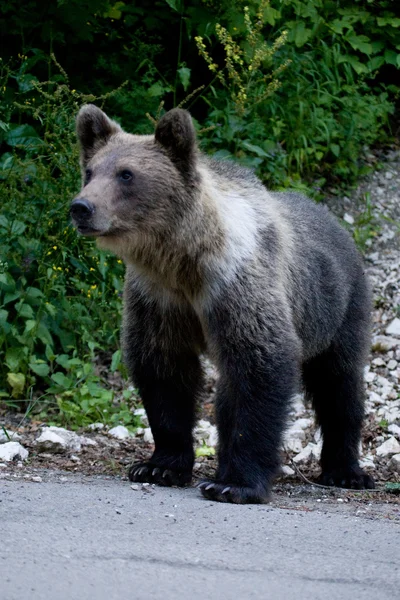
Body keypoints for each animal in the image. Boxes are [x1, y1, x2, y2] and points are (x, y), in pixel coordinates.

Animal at [70, 105, 374, 504]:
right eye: (90, 171)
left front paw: (234, 483)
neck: (182, 260)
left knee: (338, 384)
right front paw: (158, 466)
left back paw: (346, 471)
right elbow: (163, 370)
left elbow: (257, 366)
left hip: (337, 307)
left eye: (126, 174)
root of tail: (334, 220)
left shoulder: (235, 286)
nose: (81, 207)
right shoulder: (158, 298)